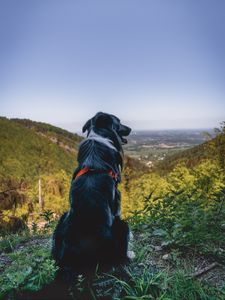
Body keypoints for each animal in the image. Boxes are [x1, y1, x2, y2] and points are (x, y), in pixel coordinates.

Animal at [51, 111, 132, 280]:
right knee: (120, 257)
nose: (130, 129)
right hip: (122, 225)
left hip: (62, 220)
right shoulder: (117, 197)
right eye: (119, 122)